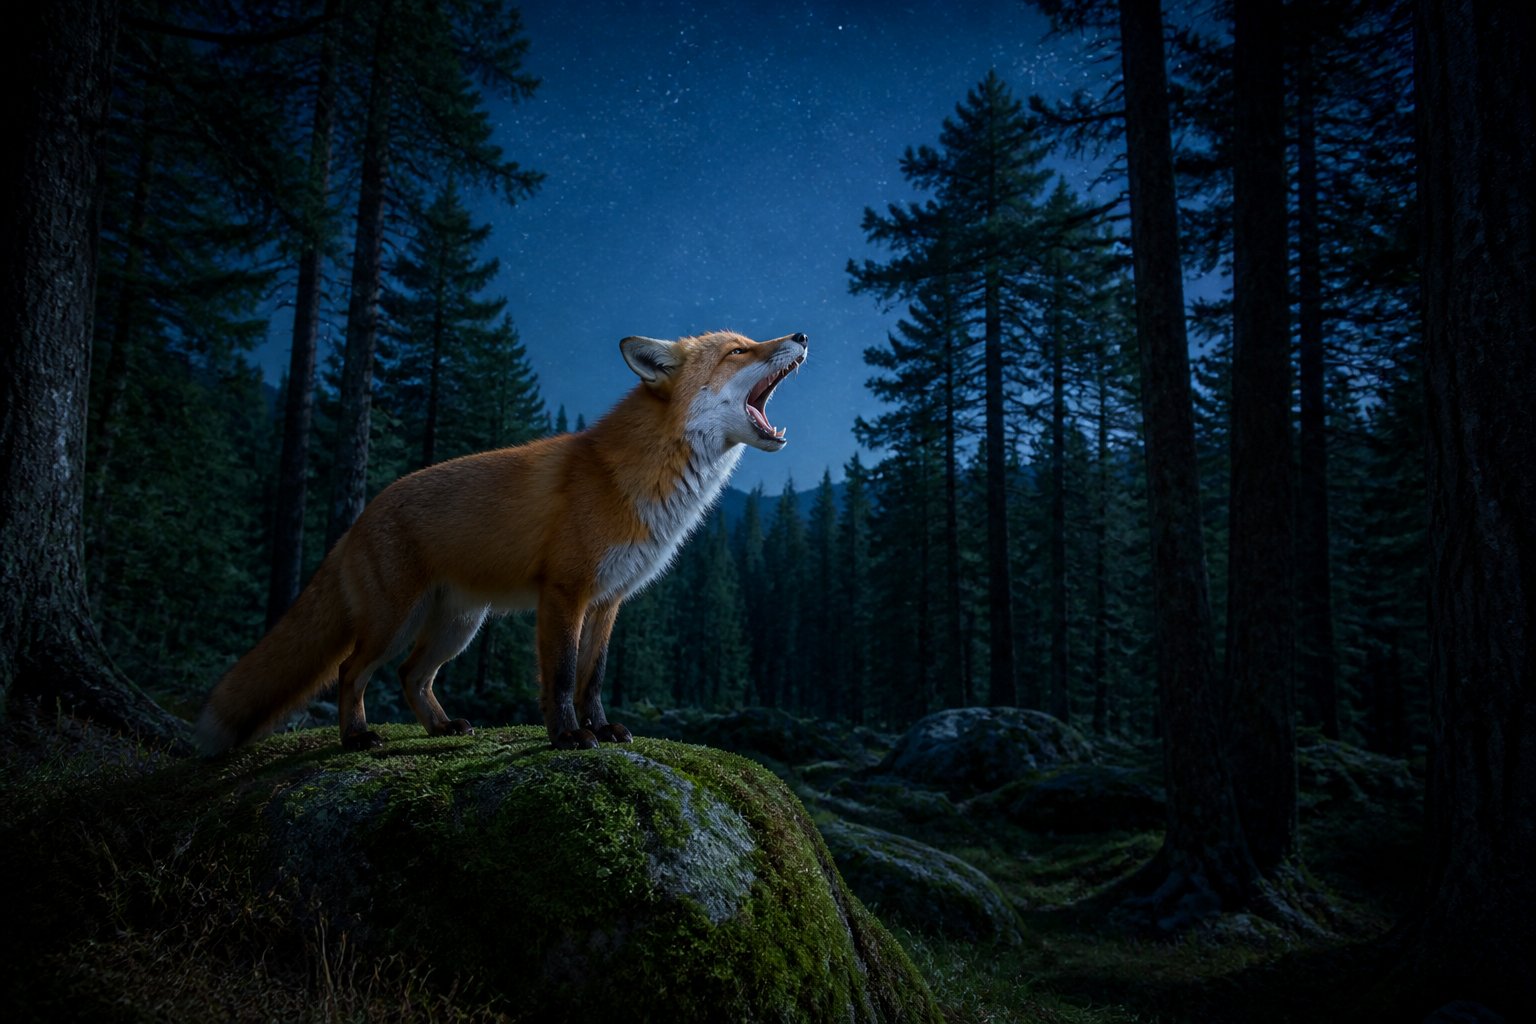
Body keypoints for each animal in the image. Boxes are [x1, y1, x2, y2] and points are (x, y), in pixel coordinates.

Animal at [196, 330, 808, 754]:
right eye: (739, 350)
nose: (801, 335)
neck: (640, 480)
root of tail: (362, 516)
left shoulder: (608, 601)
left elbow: (593, 678)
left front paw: (600, 728)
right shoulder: (565, 591)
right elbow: (560, 677)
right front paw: (567, 738)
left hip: (458, 627)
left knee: (411, 676)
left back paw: (442, 727)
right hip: (393, 623)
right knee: (351, 672)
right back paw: (355, 738)